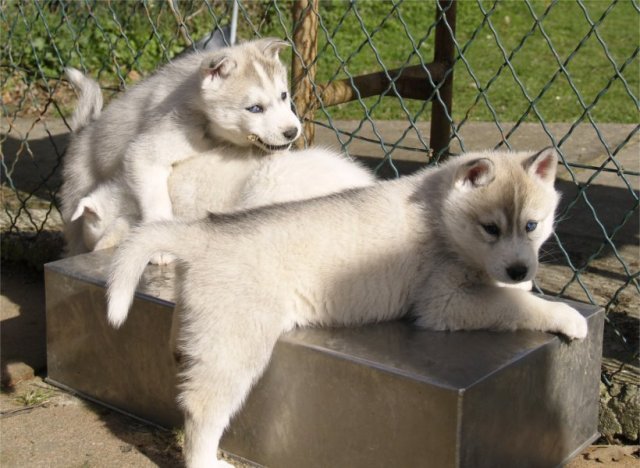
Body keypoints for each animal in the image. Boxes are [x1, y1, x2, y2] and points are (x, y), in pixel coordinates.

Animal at [60, 38, 300, 262]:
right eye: (255, 108)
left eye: (283, 95)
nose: (293, 132)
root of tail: (82, 131)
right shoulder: (147, 152)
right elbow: (156, 200)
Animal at [106, 148, 592, 466]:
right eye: (490, 228)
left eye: (532, 225)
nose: (518, 266)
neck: (440, 211)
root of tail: (204, 233)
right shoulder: (444, 301)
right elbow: (512, 304)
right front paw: (564, 316)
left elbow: (513, 292)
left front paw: (526, 282)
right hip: (236, 342)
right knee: (202, 406)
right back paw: (206, 460)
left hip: (206, 322)